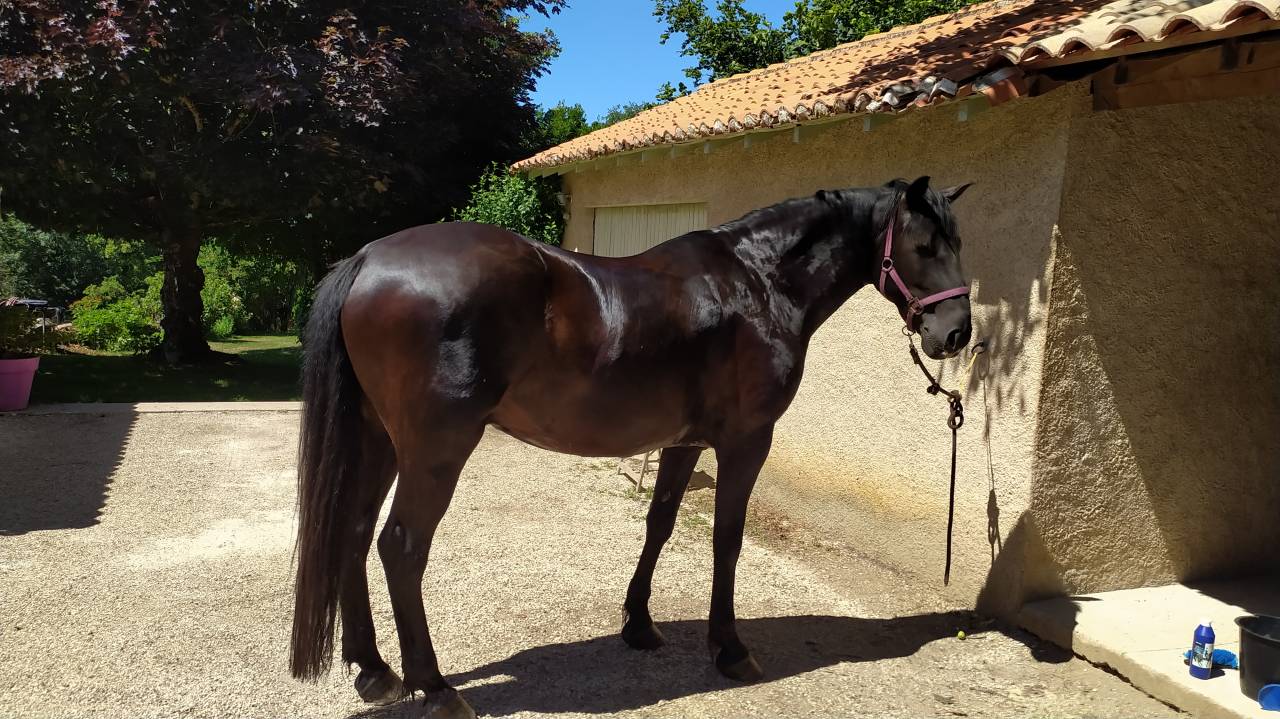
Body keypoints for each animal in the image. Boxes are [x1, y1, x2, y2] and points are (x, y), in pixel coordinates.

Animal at [290, 175, 973, 718]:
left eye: (958, 244)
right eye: (923, 246)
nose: (956, 333)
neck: (759, 283)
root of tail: (370, 259)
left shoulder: (685, 443)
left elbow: (660, 523)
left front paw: (639, 625)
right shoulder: (746, 441)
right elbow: (726, 540)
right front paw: (729, 649)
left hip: (378, 441)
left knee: (352, 532)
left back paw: (374, 670)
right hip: (435, 450)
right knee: (401, 547)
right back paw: (435, 689)